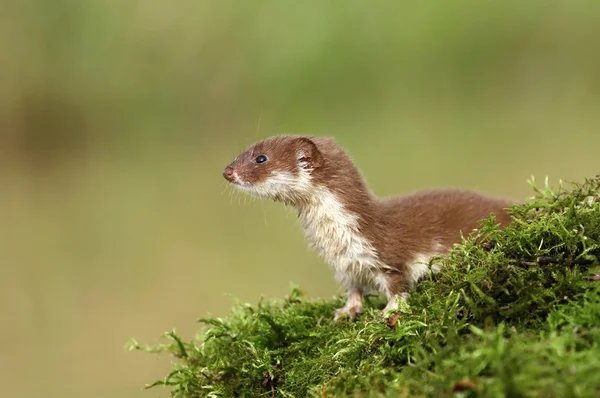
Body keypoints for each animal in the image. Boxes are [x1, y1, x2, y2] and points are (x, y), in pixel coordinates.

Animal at [223, 136, 512, 320]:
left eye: (261, 158)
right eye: (242, 151)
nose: (227, 171)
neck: (336, 240)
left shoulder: (387, 255)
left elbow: (397, 286)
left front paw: (389, 311)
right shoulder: (344, 266)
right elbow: (353, 289)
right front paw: (347, 311)